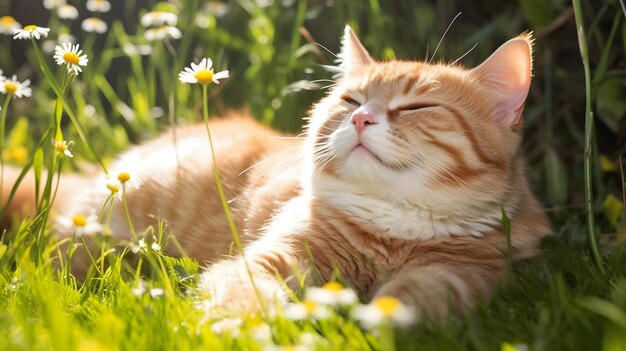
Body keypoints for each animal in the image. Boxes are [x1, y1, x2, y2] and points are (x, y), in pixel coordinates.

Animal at [1, 25, 544, 322]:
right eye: (351, 100)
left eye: (416, 107)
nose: (361, 119)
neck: (392, 228)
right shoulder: (271, 258)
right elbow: (245, 293)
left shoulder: (464, 274)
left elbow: (414, 298)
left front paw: (380, 320)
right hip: (93, 241)